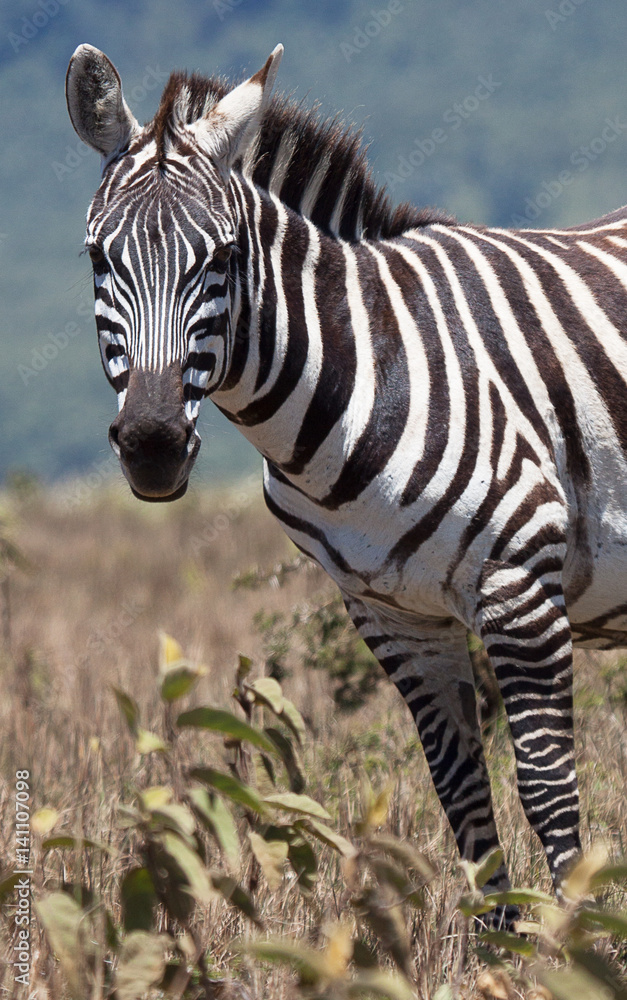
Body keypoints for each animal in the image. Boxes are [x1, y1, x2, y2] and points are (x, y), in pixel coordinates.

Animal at [66, 43, 627, 919]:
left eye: (223, 257)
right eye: (98, 257)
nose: (152, 445)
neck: (366, 366)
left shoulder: (520, 592)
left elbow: (547, 794)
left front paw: (576, 942)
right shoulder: (393, 615)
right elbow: (463, 802)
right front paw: (499, 943)